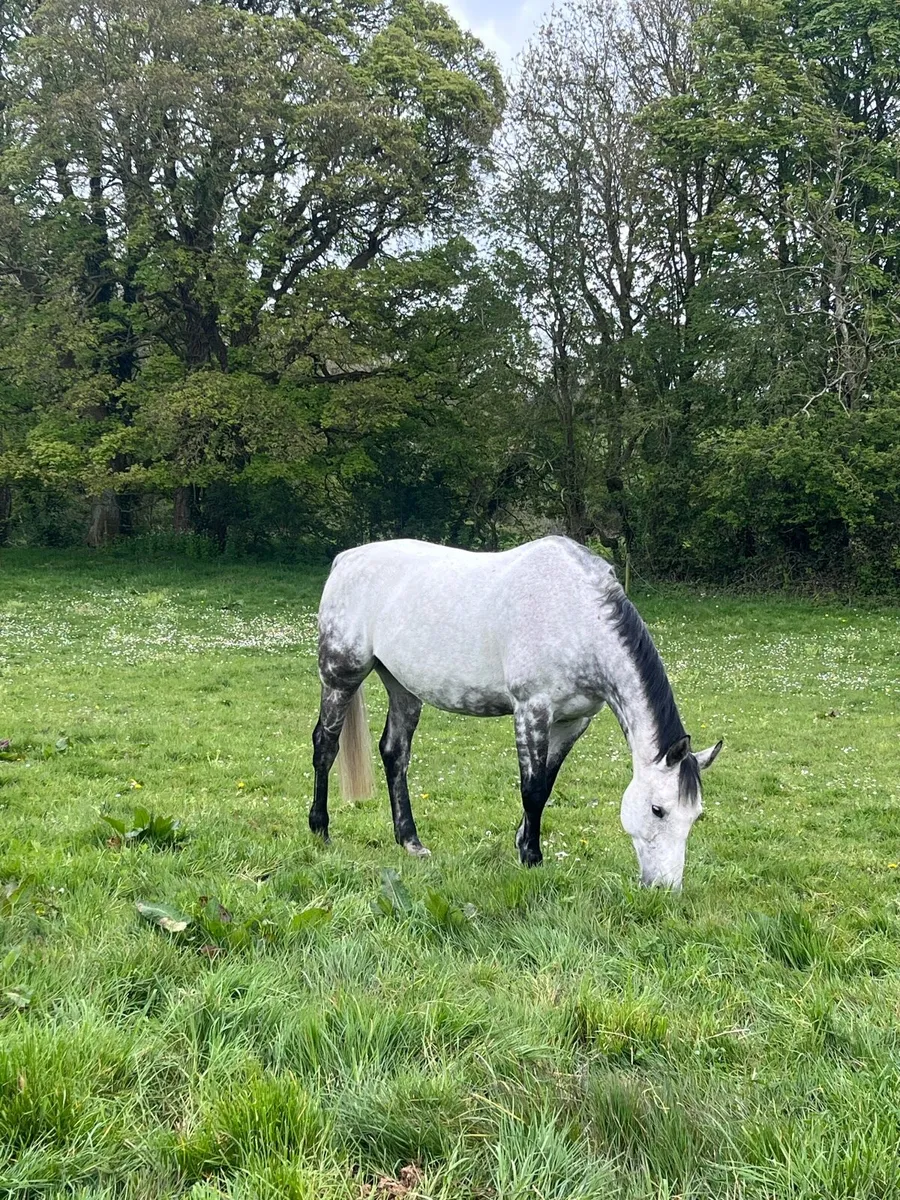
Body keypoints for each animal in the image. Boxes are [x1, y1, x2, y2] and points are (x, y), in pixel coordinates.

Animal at [310, 536, 722, 888]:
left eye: (695, 816)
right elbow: (533, 789)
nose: (665, 888)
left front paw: (523, 841)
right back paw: (320, 830)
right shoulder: (532, 711)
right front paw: (531, 857)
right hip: (341, 677)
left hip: (403, 687)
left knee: (395, 753)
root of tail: (345, 559)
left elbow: (547, 783)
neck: (577, 615)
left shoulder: (573, 722)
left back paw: (410, 840)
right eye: (657, 810)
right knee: (325, 746)